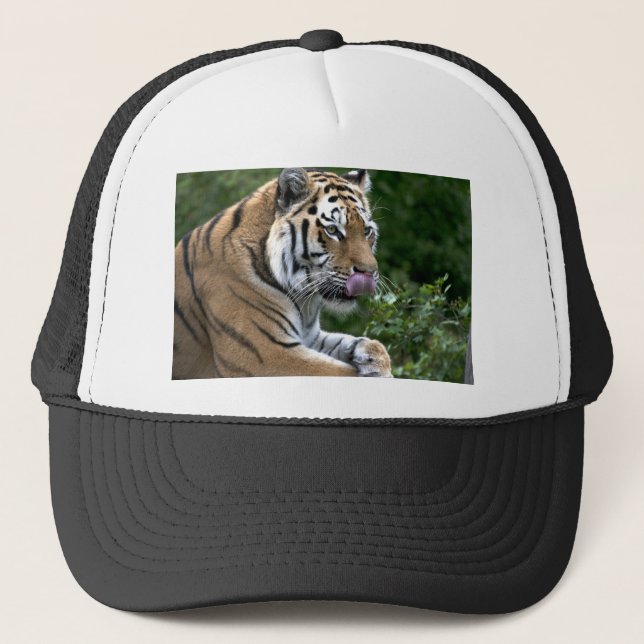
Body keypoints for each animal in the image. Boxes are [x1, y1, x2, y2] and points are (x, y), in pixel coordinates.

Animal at [172, 168, 392, 379]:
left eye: (366, 231)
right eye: (332, 230)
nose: (369, 272)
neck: (304, 300)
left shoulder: (310, 337)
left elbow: (356, 342)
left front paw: (372, 357)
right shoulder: (263, 354)